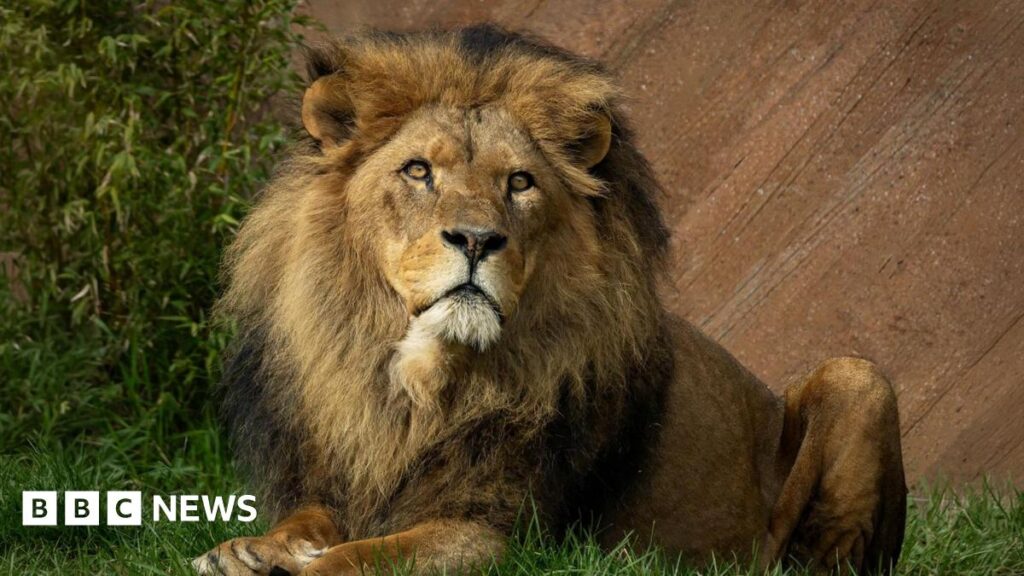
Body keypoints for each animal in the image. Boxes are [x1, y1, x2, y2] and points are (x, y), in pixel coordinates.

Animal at [193, 25, 907, 576]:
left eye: (519, 182)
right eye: (419, 171)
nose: (477, 239)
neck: (417, 385)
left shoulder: (498, 531)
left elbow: (367, 555)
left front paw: (298, 565)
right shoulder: (331, 479)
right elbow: (306, 521)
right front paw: (246, 550)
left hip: (858, 379)